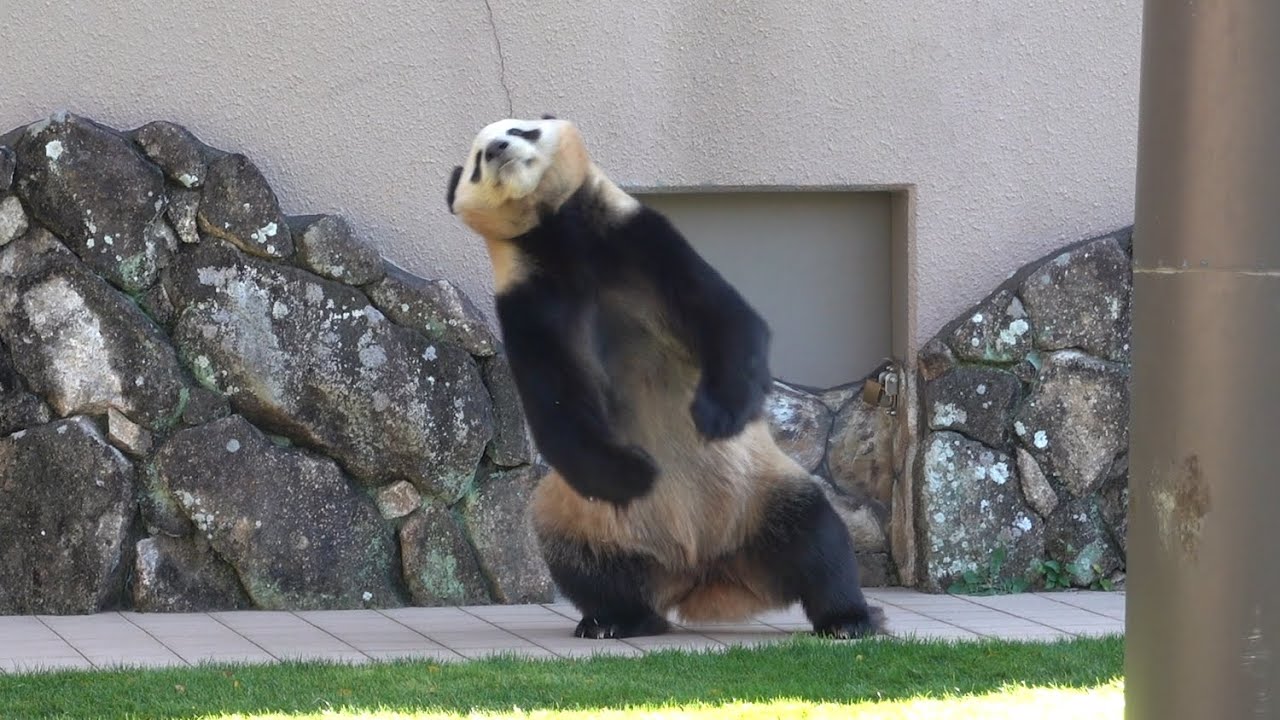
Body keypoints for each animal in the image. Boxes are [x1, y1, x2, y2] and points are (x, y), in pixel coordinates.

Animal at [447, 116, 884, 640]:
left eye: (522, 129)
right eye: (476, 162)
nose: (498, 148)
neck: (557, 238)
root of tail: (701, 572)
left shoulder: (639, 240)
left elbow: (725, 317)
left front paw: (717, 415)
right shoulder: (526, 299)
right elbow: (556, 404)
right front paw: (636, 474)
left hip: (758, 491)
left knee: (815, 539)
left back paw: (849, 619)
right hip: (584, 516)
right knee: (582, 562)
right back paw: (617, 618)